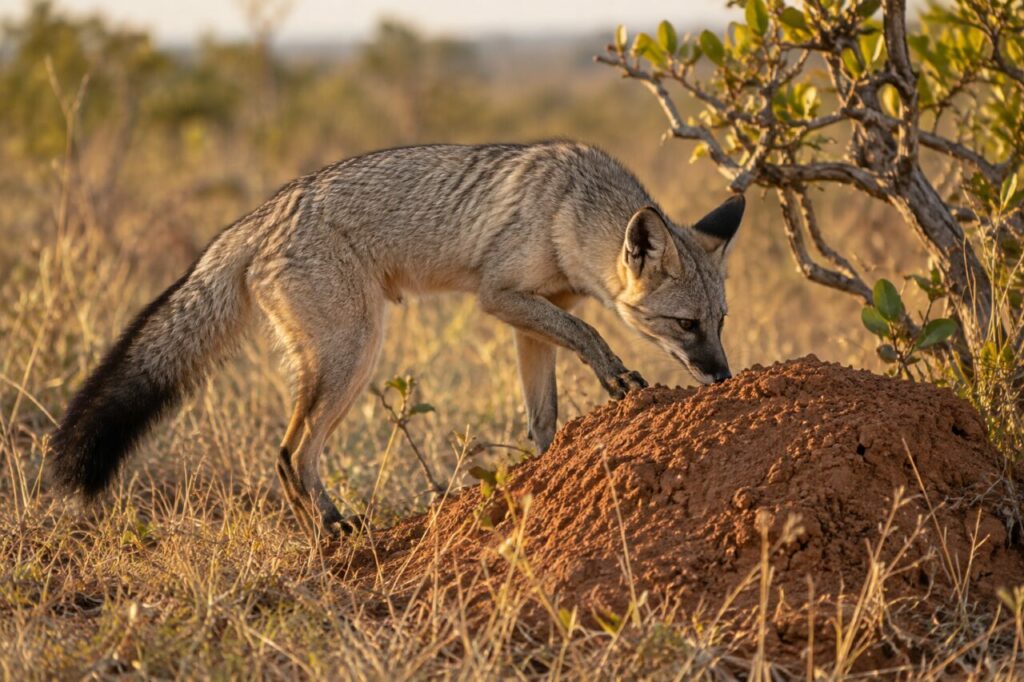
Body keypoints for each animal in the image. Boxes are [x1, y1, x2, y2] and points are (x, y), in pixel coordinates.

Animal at [50, 141, 744, 542]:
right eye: (685, 325)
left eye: (721, 321)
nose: (723, 377)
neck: (568, 210)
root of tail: (262, 214)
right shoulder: (500, 296)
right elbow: (589, 332)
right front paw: (617, 375)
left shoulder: (534, 319)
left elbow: (542, 416)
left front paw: (546, 469)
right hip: (354, 354)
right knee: (291, 452)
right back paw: (330, 532)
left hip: (346, 357)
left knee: (291, 454)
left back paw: (322, 532)